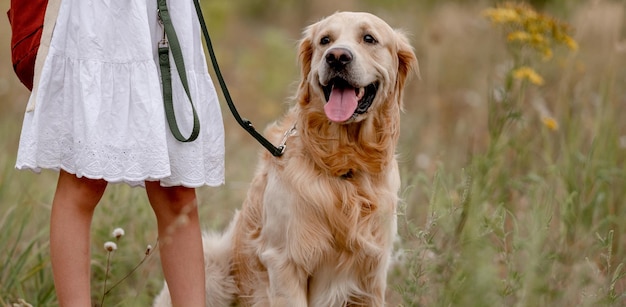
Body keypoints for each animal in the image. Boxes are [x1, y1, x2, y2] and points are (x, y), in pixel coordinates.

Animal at [152, 10, 414, 306]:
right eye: (325, 40)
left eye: (369, 38)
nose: (336, 57)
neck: (343, 161)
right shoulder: (284, 261)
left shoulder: (372, 275)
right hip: (214, 264)